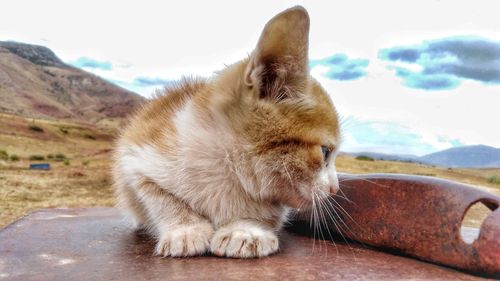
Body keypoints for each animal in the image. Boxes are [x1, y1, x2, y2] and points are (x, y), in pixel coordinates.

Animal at [113, 4, 340, 258]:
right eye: (325, 152)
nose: (335, 189)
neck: (227, 170)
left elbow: (262, 215)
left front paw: (245, 229)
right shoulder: (134, 159)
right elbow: (161, 198)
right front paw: (186, 229)